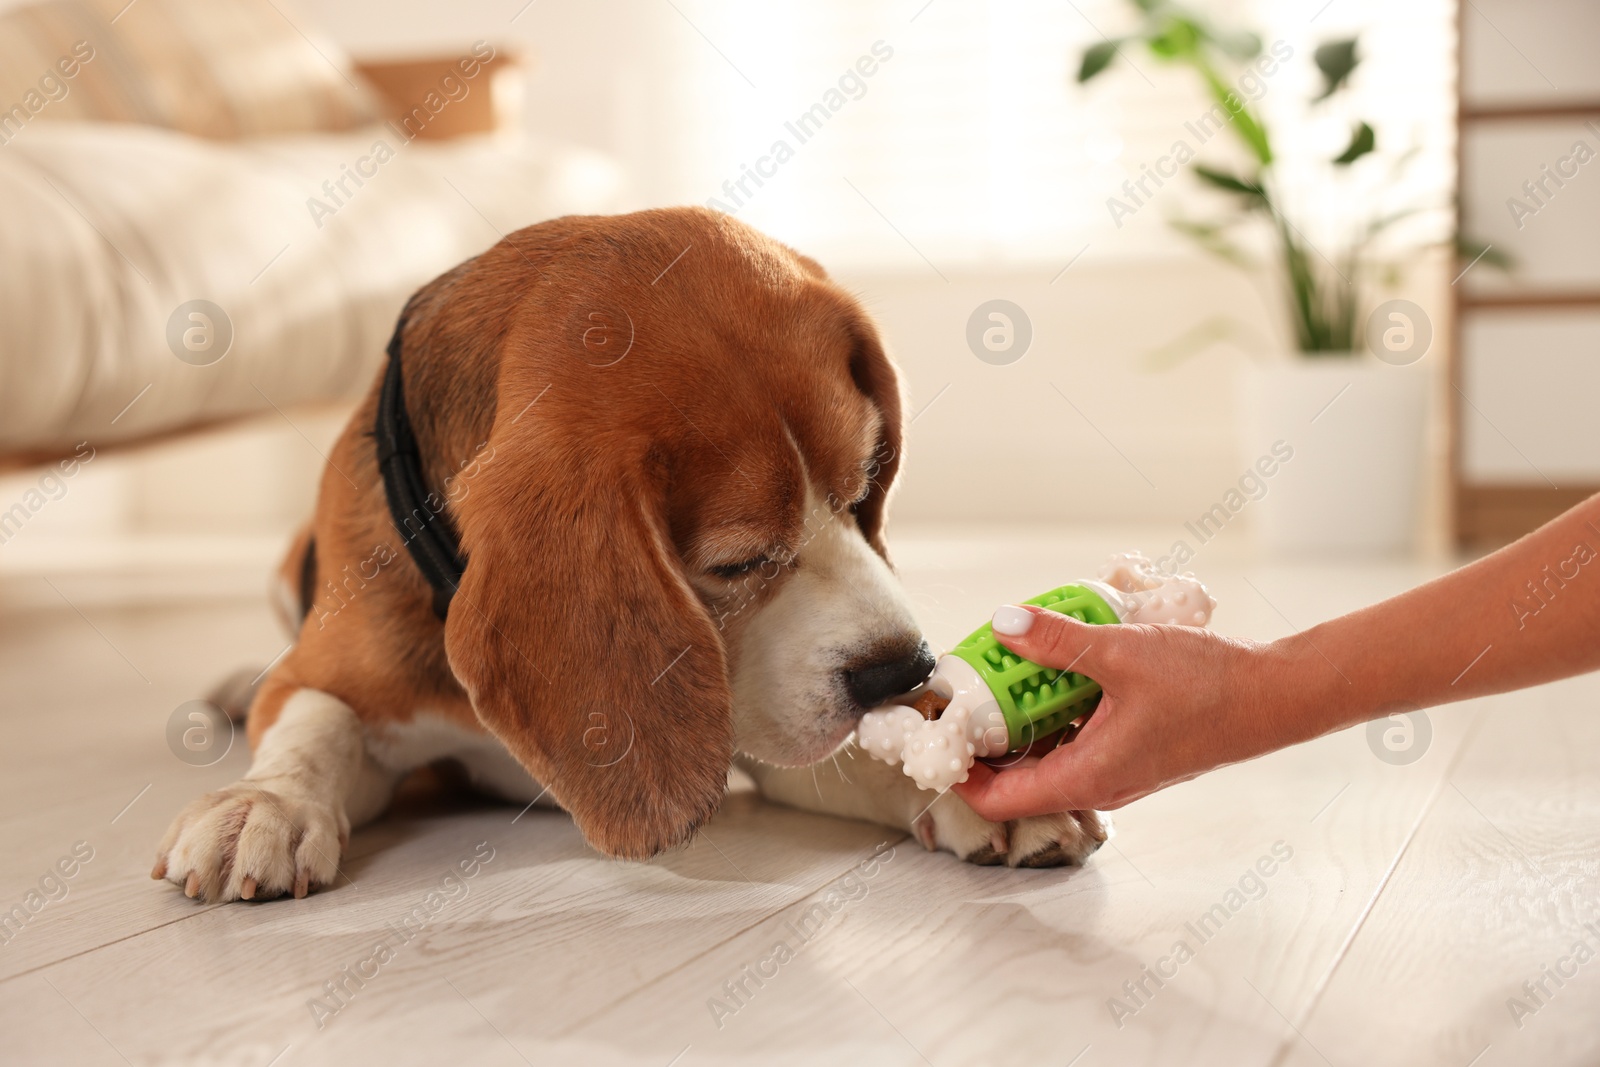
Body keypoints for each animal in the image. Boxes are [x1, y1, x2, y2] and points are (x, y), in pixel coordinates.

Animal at [156, 207, 1107, 902]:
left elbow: (865, 750)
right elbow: (316, 723)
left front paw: (966, 787)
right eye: (736, 562)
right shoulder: (332, 674)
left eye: (868, 481)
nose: (904, 668)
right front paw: (265, 803)